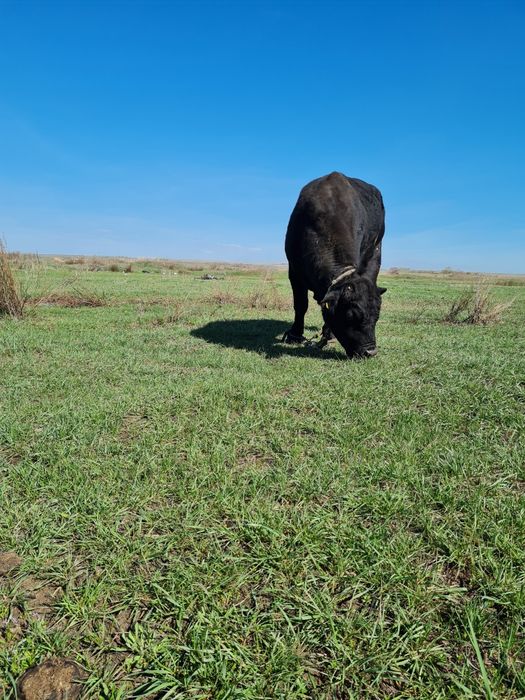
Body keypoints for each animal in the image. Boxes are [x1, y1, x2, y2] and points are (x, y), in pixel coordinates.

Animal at [282, 171, 386, 358]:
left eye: (377, 316)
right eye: (350, 316)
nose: (370, 351)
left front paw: (327, 335)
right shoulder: (294, 271)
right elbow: (300, 304)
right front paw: (295, 335)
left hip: (376, 249)